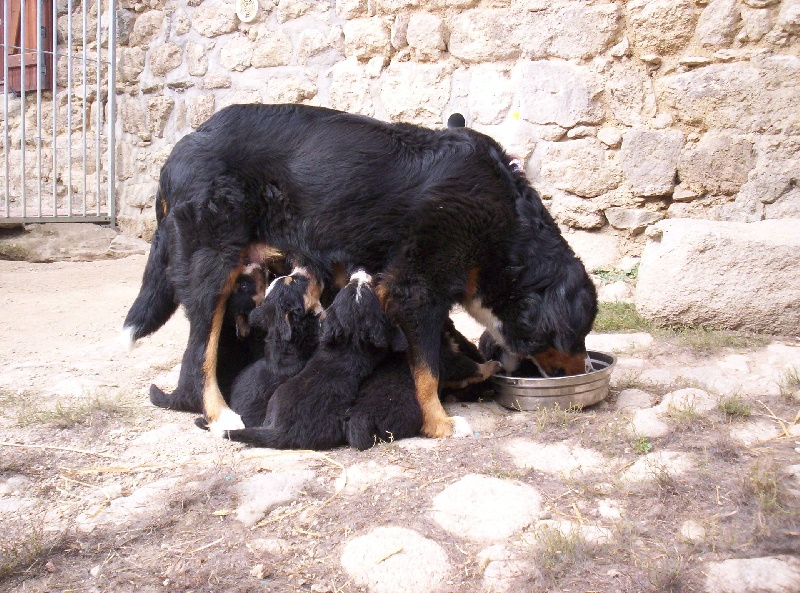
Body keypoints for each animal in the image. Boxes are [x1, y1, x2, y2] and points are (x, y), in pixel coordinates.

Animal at [122, 103, 596, 434]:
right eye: (575, 335)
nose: (584, 370)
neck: (505, 226)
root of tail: (178, 151)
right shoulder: (415, 288)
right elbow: (427, 371)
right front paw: (440, 423)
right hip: (212, 267)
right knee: (198, 356)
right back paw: (220, 415)